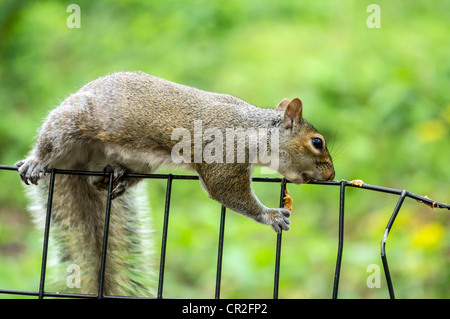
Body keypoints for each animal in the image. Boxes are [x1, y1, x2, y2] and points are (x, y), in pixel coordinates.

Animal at [15, 72, 334, 298]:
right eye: (317, 142)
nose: (331, 175)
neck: (251, 130)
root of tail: (78, 160)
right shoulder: (223, 156)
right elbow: (226, 190)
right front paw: (271, 215)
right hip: (72, 123)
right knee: (51, 142)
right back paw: (36, 162)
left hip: (139, 163)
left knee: (96, 180)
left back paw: (115, 176)